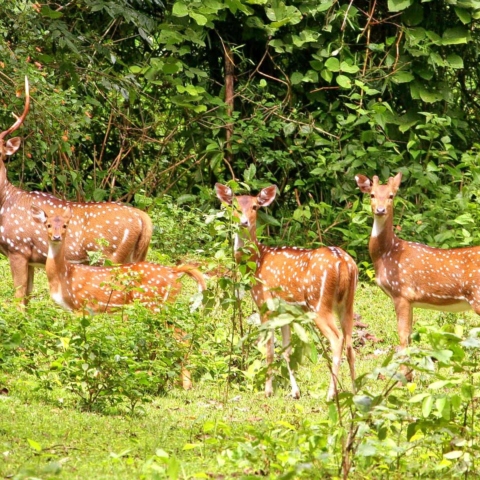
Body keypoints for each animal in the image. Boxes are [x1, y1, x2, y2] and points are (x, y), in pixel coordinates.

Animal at [0, 77, 153, 306]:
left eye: (2, 152)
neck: (5, 203)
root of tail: (143, 219)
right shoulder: (30, 259)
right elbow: (26, 298)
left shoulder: (17, 247)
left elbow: (18, 299)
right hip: (136, 256)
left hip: (111, 255)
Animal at [31, 204, 207, 390]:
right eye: (48, 225)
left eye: (65, 225)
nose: (56, 237)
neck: (64, 276)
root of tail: (175, 272)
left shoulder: (81, 304)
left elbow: (79, 340)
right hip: (163, 306)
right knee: (179, 335)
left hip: (153, 305)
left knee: (175, 337)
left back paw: (179, 383)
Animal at [215, 183, 357, 401]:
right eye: (234, 205)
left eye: (255, 206)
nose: (244, 222)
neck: (257, 262)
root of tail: (344, 262)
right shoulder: (286, 313)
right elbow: (286, 350)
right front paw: (295, 392)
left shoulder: (264, 303)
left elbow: (269, 349)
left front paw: (268, 390)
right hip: (347, 304)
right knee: (350, 343)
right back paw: (356, 390)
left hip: (318, 303)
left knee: (337, 339)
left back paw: (331, 394)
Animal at [355, 172, 480, 380]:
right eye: (372, 195)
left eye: (391, 196)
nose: (380, 210)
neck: (387, 254)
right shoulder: (411, 300)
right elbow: (409, 335)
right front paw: (409, 375)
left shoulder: (402, 293)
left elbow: (402, 336)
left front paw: (402, 378)